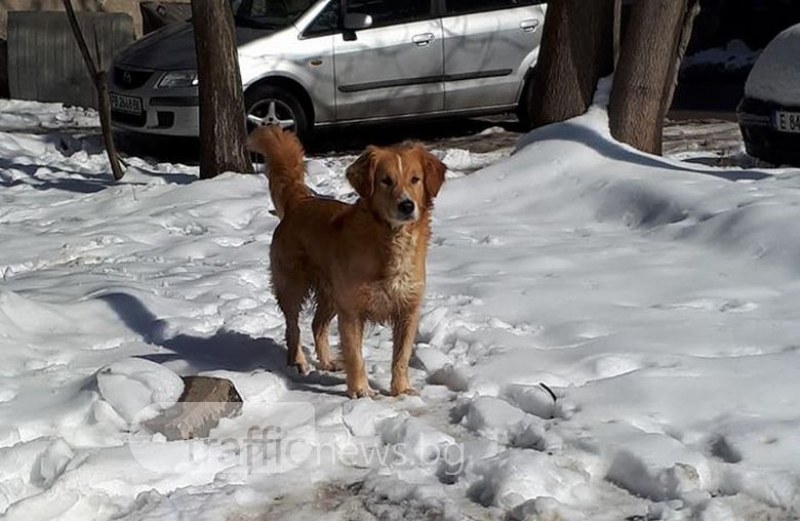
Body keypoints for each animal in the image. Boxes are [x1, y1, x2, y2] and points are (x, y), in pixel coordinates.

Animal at [247, 126, 446, 398]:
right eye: (386, 180)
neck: (391, 240)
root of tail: (301, 201)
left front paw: (401, 390)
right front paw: (361, 391)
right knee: (293, 327)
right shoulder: (352, 310)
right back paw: (298, 362)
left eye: (415, 179)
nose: (406, 205)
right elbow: (355, 354)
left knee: (317, 325)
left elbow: (401, 356)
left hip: (331, 294)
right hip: (293, 286)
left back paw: (327, 362)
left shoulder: (408, 308)